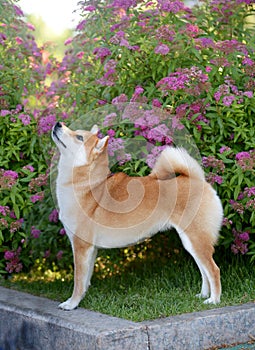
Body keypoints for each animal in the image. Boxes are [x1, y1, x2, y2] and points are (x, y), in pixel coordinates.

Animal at [50, 121, 222, 310]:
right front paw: (82, 298)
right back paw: (203, 295)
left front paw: (71, 303)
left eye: (79, 137)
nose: (58, 123)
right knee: (204, 270)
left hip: (196, 239)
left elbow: (78, 281)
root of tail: (198, 180)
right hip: (190, 242)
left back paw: (214, 300)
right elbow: (85, 279)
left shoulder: (81, 246)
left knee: (213, 270)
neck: (88, 186)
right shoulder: (91, 249)